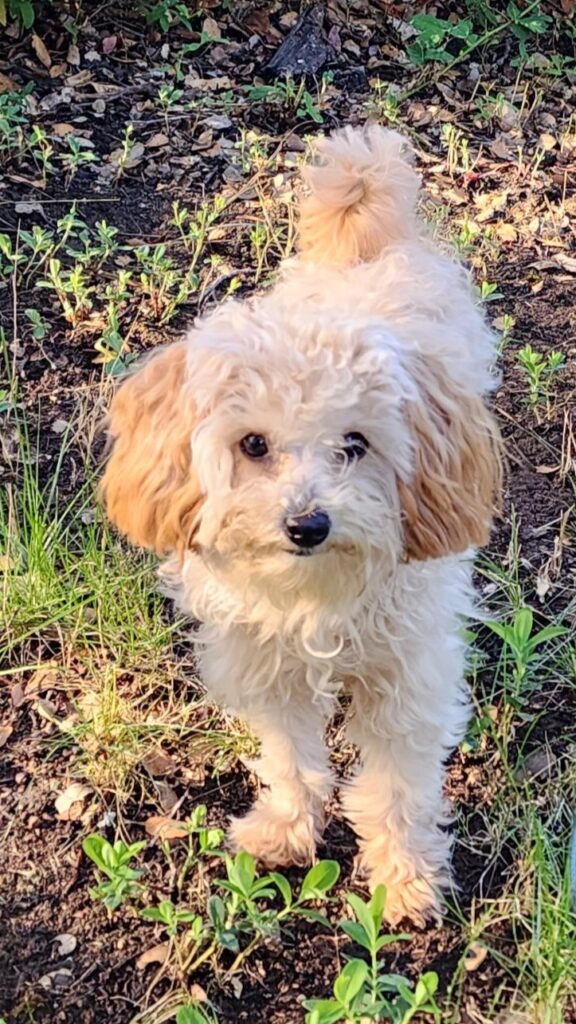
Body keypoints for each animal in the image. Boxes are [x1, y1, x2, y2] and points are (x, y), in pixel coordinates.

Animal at [100, 123, 500, 925]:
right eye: (253, 444)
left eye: (356, 444)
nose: (307, 524)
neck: (317, 600)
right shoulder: (266, 666)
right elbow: (290, 758)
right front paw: (286, 831)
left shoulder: (409, 677)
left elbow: (398, 783)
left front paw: (405, 877)